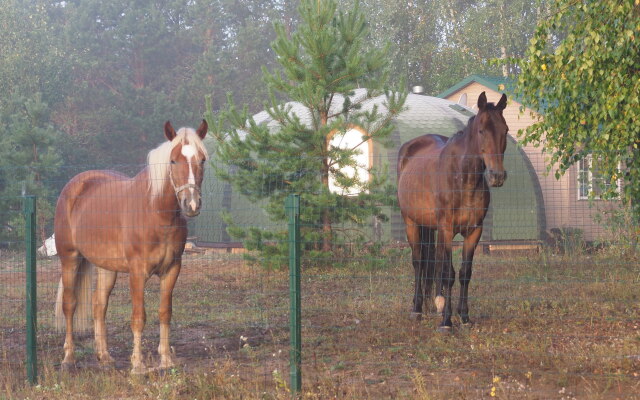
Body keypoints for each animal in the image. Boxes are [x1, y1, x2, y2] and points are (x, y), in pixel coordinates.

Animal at [54, 120, 208, 374]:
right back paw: (68, 358)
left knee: (99, 305)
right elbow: (138, 316)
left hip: (106, 267)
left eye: (202, 160)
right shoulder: (137, 272)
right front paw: (138, 364)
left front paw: (166, 360)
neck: (156, 213)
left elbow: (165, 313)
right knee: (70, 304)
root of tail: (75, 185)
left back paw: (105, 357)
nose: (192, 204)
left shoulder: (172, 270)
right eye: (173, 160)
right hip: (70, 258)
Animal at [398, 93, 508, 332]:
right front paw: (447, 322)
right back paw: (417, 308)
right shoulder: (447, 229)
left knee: (434, 262)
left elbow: (465, 274)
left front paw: (464, 316)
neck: (463, 179)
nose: (497, 176)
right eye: (481, 130)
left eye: (505, 130)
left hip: (431, 227)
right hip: (411, 222)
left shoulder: (474, 231)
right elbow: (449, 274)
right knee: (419, 262)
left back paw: (434, 304)